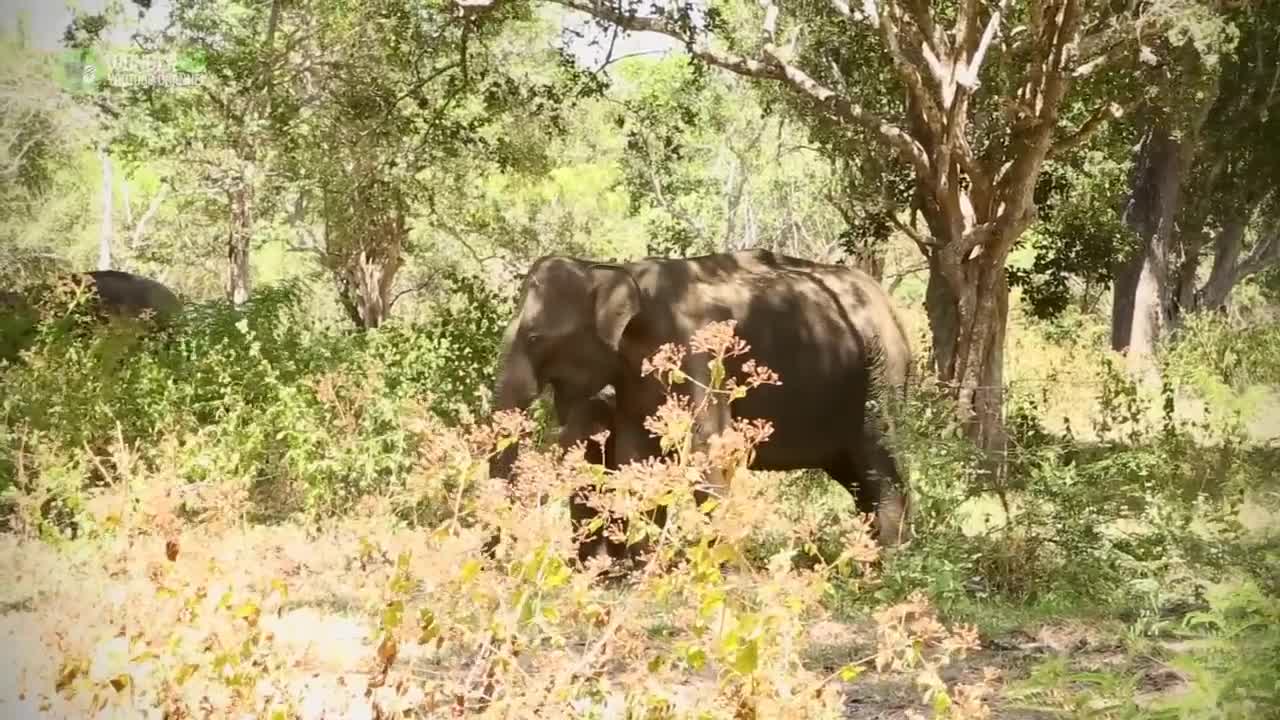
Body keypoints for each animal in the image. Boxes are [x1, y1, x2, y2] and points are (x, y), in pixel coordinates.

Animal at [483, 245, 916, 543]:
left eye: (534, 337)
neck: (613, 270)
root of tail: (892, 308)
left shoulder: (699, 351)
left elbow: (708, 447)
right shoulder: (634, 378)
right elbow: (634, 454)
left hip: (880, 372)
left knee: (880, 458)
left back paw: (889, 561)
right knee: (858, 476)